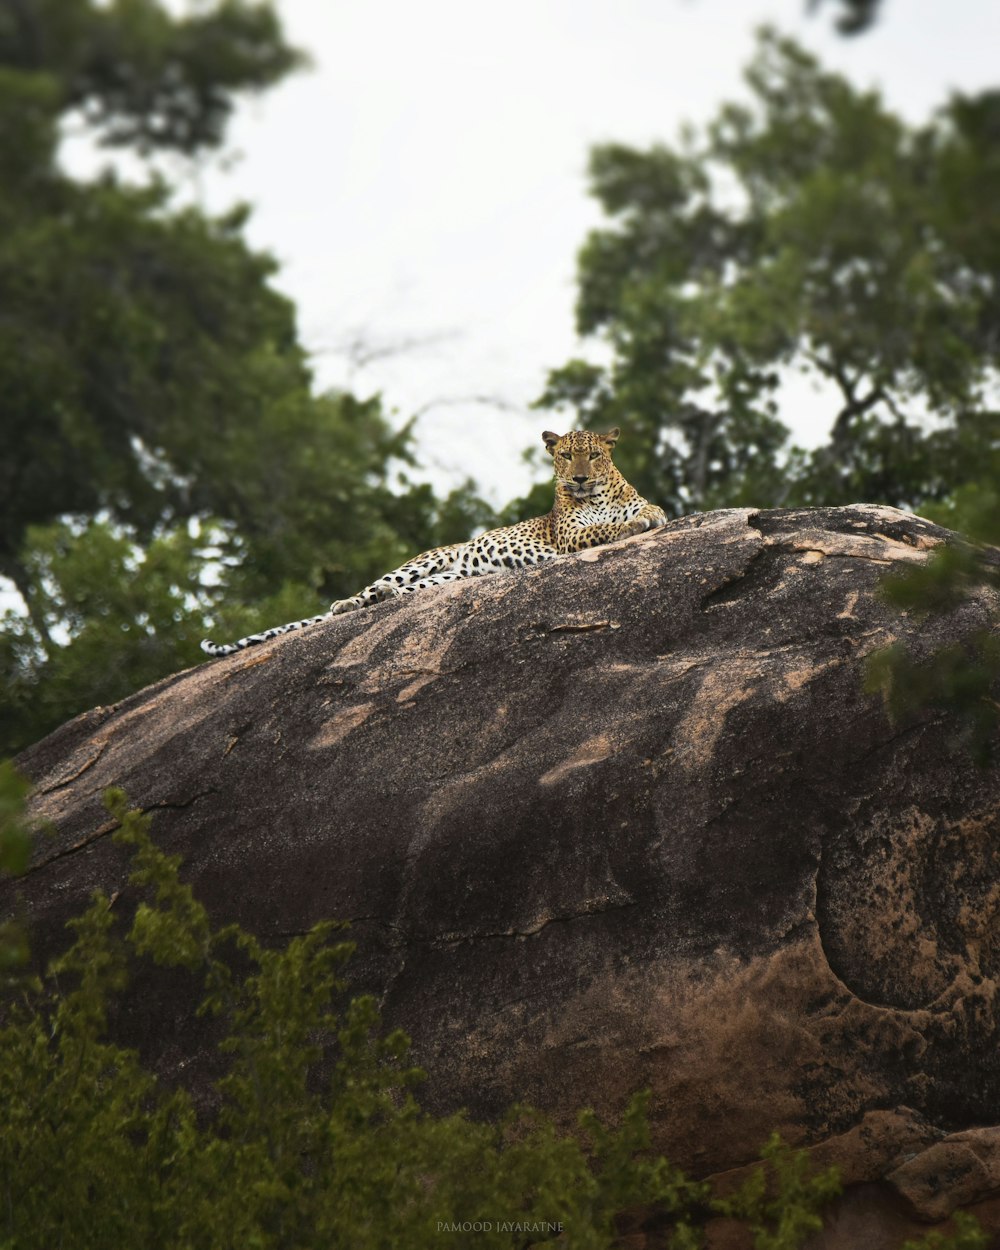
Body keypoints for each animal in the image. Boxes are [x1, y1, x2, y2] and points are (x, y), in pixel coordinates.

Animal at [198, 430, 670, 660]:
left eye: (594, 455)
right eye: (565, 456)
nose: (580, 478)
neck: (599, 495)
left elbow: (650, 510)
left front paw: (644, 518)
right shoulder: (569, 535)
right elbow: (600, 530)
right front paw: (629, 526)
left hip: (446, 578)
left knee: (403, 590)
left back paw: (383, 600)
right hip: (427, 560)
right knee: (372, 586)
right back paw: (350, 604)